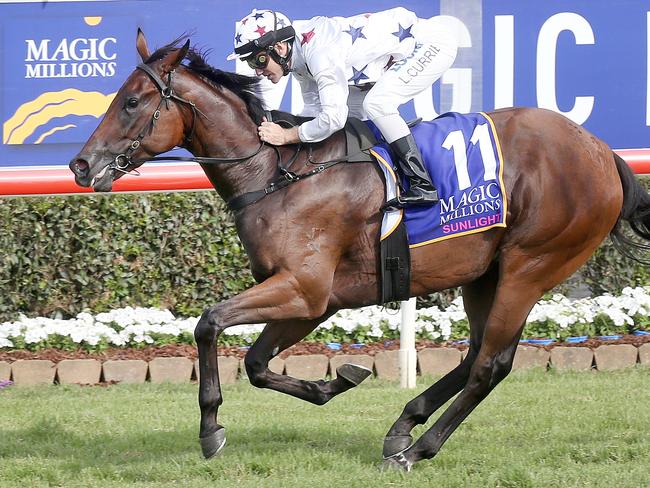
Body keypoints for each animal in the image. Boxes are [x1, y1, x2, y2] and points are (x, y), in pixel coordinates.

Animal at [69, 32, 648, 470]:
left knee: (491, 365)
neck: (276, 172)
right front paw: (336, 382)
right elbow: (255, 363)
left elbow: (209, 323)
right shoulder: (314, 300)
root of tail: (602, 152)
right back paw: (402, 426)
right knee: (476, 354)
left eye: (132, 102)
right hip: (486, 272)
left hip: (532, 265)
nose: (80, 165)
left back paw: (417, 450)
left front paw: (211, 428)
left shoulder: (302, 289)